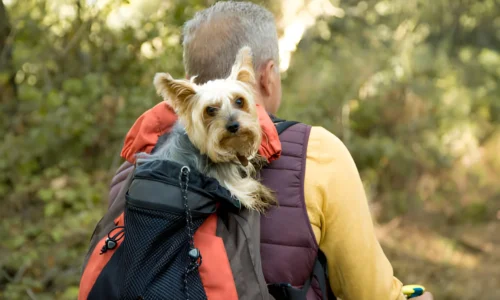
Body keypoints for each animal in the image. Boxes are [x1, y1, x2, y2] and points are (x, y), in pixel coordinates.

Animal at [138, 46, 278, 211]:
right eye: (210, 110)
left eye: (239, 101)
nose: (233, 126)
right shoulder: (224, 181)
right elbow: (245, 188)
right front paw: (262, 193)